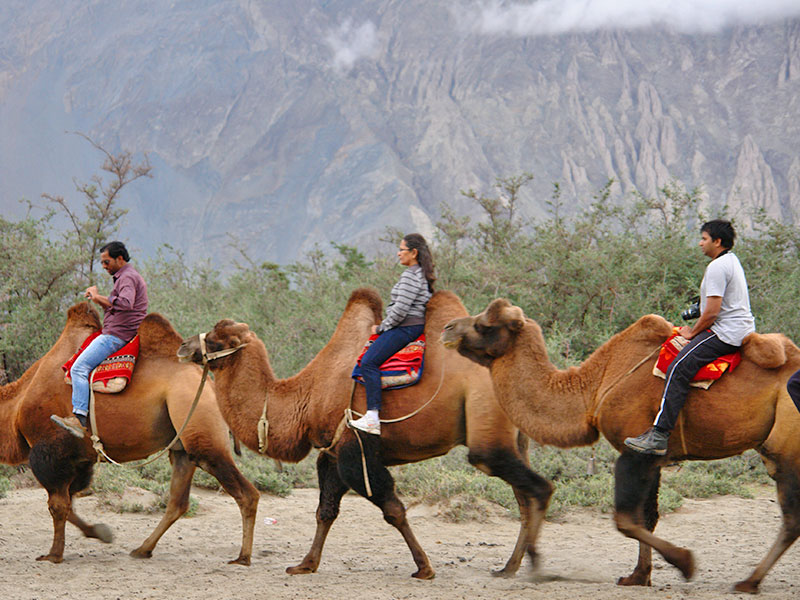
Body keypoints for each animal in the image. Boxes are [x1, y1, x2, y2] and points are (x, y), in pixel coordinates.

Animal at [1, 302, 258, 564]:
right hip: (183, 447)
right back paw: (143, 549)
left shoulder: (49, 450)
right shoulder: (80, 458)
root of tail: (210, 385)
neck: (17, 406)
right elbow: (70, 501)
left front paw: (53, 554)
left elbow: (58, 505)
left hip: (203, 434)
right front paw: (100, 532)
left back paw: (242, 557)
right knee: (178, 502)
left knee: (246, 494)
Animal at [180, 288, 556, 580]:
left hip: (488, 432)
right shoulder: (330, 452)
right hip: (514, 438)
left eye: (216, 339)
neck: (306, 396)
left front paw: (424, 567)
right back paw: (510, 567)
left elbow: (392, 509)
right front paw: (305, 564)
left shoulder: (354, 449)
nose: (184, 346)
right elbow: (325, 510)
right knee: (524, 497)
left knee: (528, 486)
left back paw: (526, 566)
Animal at [440, 300, 800, 596]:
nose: (447, 327)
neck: (594, 386)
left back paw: (749, 582)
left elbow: (625, 519)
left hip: (787, 449)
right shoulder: (655, 458)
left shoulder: (634, 451)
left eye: (484, 325)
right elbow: (648, 517)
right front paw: (638, 576)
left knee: (791, 518)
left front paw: (685, 562)